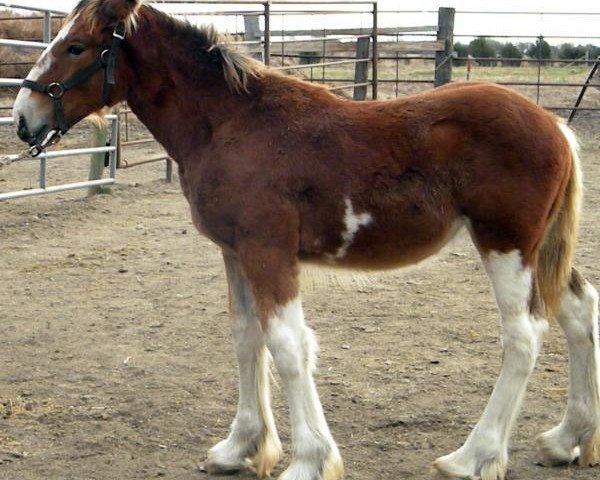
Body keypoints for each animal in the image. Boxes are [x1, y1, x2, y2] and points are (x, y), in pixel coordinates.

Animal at [12, 0, 600, 480]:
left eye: (76, 46)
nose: (22, 119)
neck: (232, 123)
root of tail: (555, 126)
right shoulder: (235, 252)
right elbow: (246, 338)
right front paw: (241, 448)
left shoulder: (268, 252)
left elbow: (289, 346)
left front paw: (310, 461)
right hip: (541, 251)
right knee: (578, 312)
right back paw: (568, 439)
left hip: (506, 245)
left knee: (524, 337)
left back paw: (473, 457)